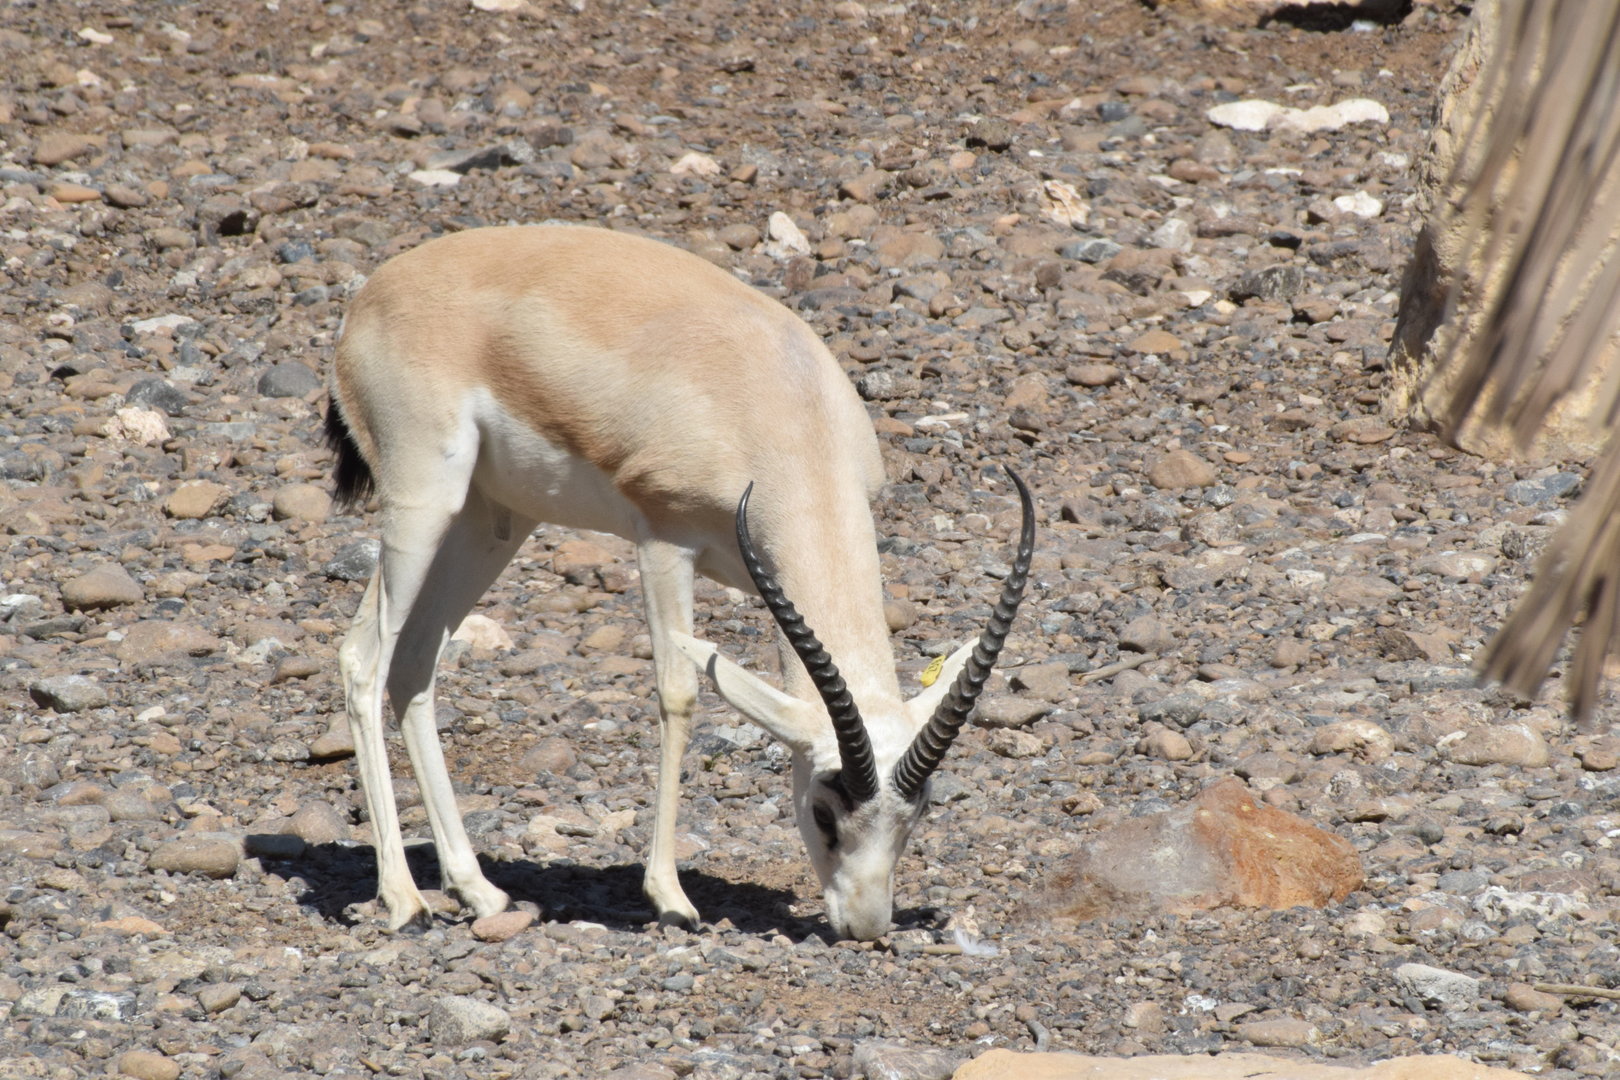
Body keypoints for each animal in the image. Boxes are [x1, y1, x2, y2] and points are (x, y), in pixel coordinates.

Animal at [322, 223, 1035, 941]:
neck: (782, 401)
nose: (865, 925)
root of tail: (374, 293)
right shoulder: (664, 542)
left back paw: (479, 892)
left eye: (918, 814)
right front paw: (670, 897)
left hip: (492, 520)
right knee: (363, 658)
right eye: (824, 811)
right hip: (423, 502)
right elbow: (680, 694)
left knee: (415, 661)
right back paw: (404, 901)